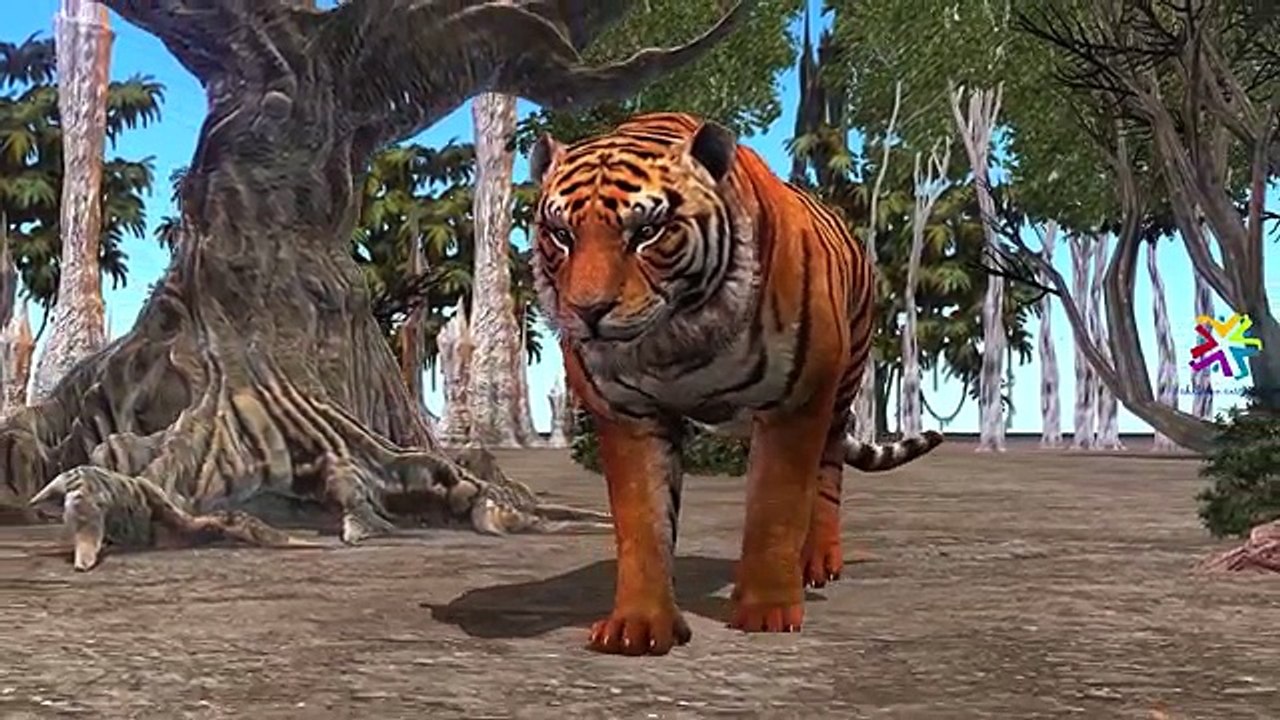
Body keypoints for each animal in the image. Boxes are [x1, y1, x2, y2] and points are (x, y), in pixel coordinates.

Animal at [529, 111, 944, 657]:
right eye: (561, 234)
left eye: (647, 231)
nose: (586, 311)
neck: (675, 343)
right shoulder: (627, 414)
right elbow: (643, 522)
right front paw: (638, 626)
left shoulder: (795, 404)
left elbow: (775, 507)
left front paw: (767, 612)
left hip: (842, 383)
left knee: (828, 474)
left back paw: (817, 563)